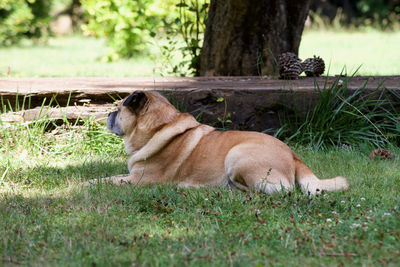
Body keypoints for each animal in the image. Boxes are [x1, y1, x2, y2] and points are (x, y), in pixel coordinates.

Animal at [87, 91, 346, 195]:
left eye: (119, 109)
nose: (109, 113)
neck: (159, 127)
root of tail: (294, 156)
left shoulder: (138, 180)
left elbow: (107, 180)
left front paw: (88, 183)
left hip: (237, 155)